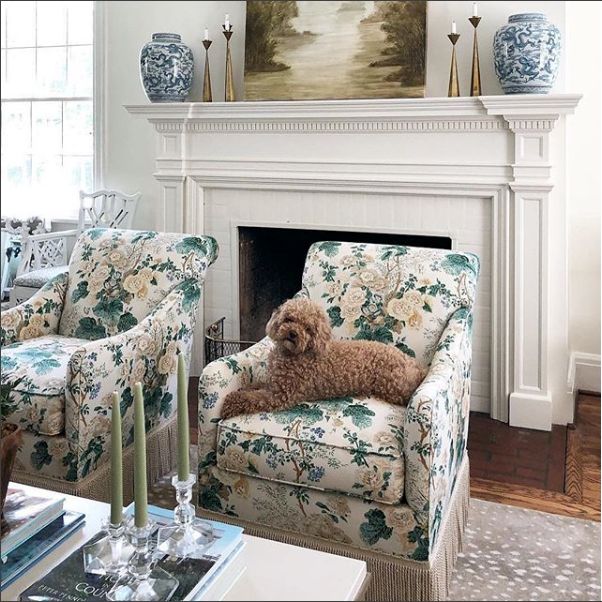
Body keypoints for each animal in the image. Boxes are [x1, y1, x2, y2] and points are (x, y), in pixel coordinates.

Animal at [218, 296, 424, 418]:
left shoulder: (279, 396)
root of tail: (416, 366)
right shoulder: (272, 382)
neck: (293, 354)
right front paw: (243, 388)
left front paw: (228, 404)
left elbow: (251, 398)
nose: (293, 334)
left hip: (391, 386)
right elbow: (254, 386)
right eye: (289, 319)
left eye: (308, 329)